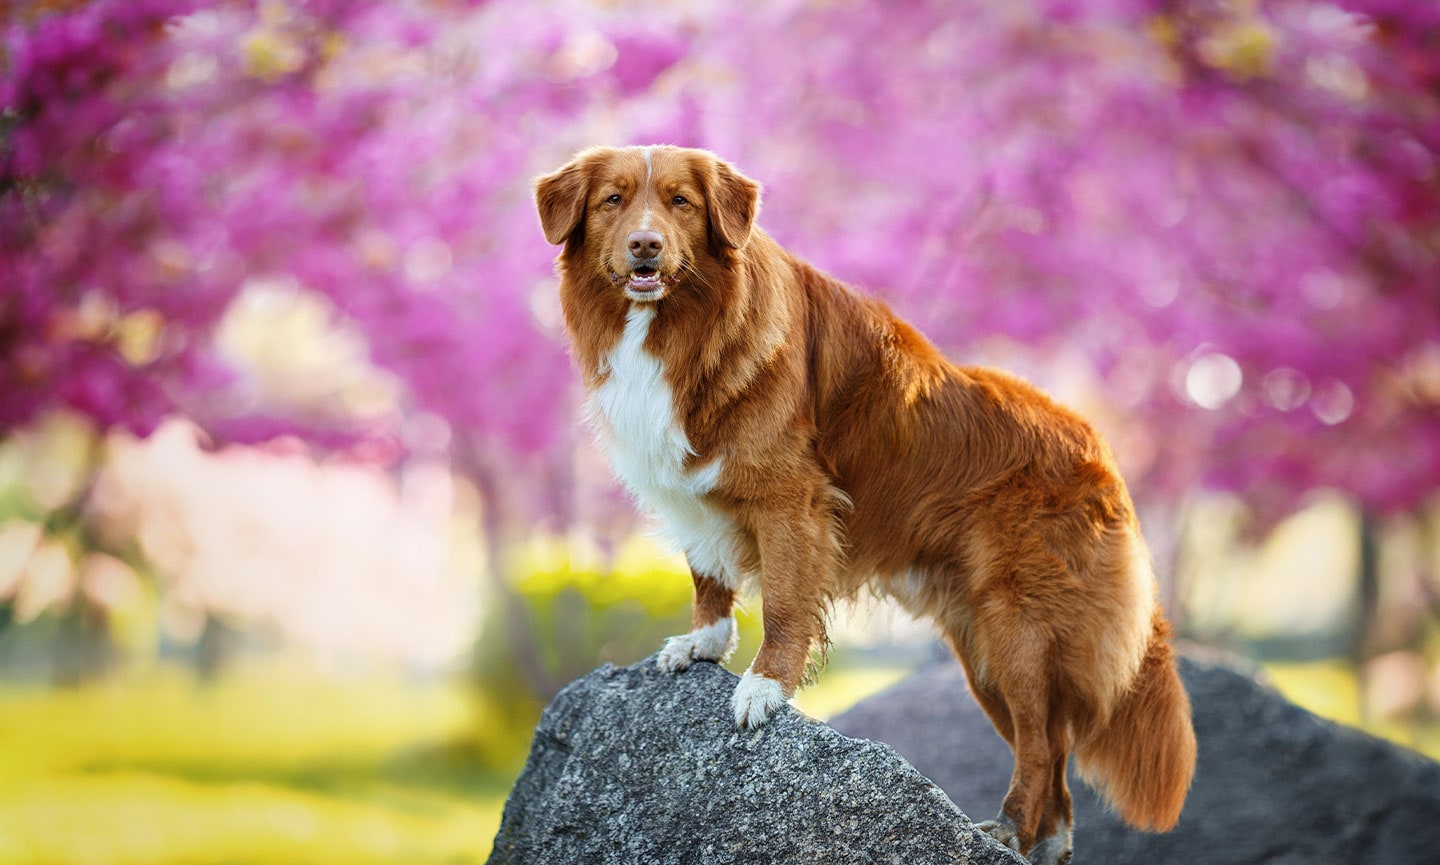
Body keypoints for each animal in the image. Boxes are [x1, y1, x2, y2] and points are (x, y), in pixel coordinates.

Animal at [535, 145, 1198, 857]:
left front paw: (763, 687)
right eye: (614, 200)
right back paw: (1036, 844)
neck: (680, 326)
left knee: (1043, 744)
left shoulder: (790, 498)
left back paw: (1007, 828)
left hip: (1018, 625)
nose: (645, 246)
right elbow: (706, 572)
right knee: (1052, 748)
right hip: (982, 651)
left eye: (681, 202)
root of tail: (1100, 451)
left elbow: (785, 604)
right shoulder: (693, 489)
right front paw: (704, 643)